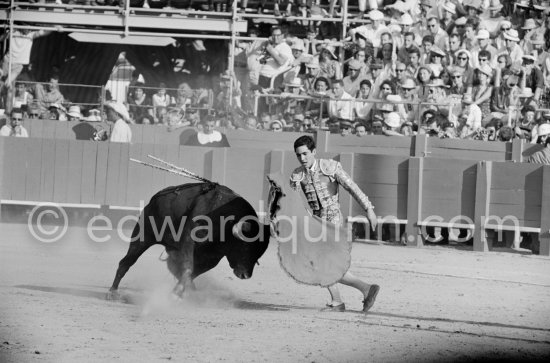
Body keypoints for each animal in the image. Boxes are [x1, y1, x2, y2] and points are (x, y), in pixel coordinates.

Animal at [106, 178, 284, 300]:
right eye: (245, 247)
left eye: (259, 253)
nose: (245, 275)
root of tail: (154, 198)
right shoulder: (188, 243)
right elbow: (188, 268)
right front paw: (176, 294)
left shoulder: (212, 257)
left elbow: (192, 272)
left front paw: (184, 291)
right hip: (143, 236)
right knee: (126, 262)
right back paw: (113, 292)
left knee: (171, 266)